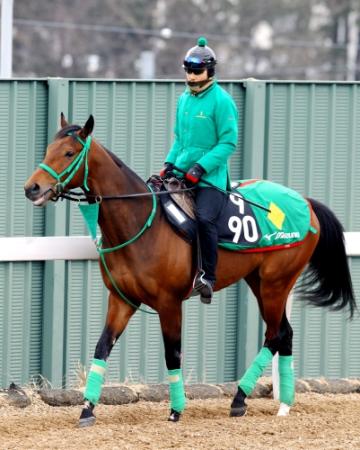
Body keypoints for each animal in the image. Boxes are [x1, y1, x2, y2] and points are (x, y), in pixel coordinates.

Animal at [23, 115, 356, 426]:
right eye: (48, 148)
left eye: (68, 152)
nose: (32, 188)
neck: (142, 222)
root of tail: (306, 203)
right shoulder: (122, 300)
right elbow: (101, 348)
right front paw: (87, 409)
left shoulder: (169, 303)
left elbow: (173, 353)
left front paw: (175, 410)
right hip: (259, 282)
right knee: (283, 334)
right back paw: (282, 404)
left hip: (276, 283)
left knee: (277, 334)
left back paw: (241, 398)